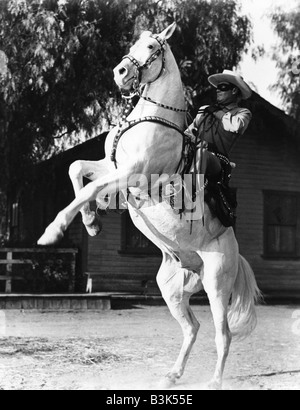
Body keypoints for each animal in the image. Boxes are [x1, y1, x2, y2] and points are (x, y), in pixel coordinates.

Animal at [38, 23, 262, 390]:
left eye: (152, 48)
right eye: (133, 44)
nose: (120, 72)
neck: (154, 119)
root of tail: (232, 251)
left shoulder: (133, 175)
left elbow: (90, 188)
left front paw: (53, 231)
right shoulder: (111, 166)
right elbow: (77, 169)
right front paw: (91, 222)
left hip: (217, 285)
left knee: (223, 334)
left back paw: (214, 380)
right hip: (172, 289)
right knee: (192, 328)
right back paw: (172, 375)